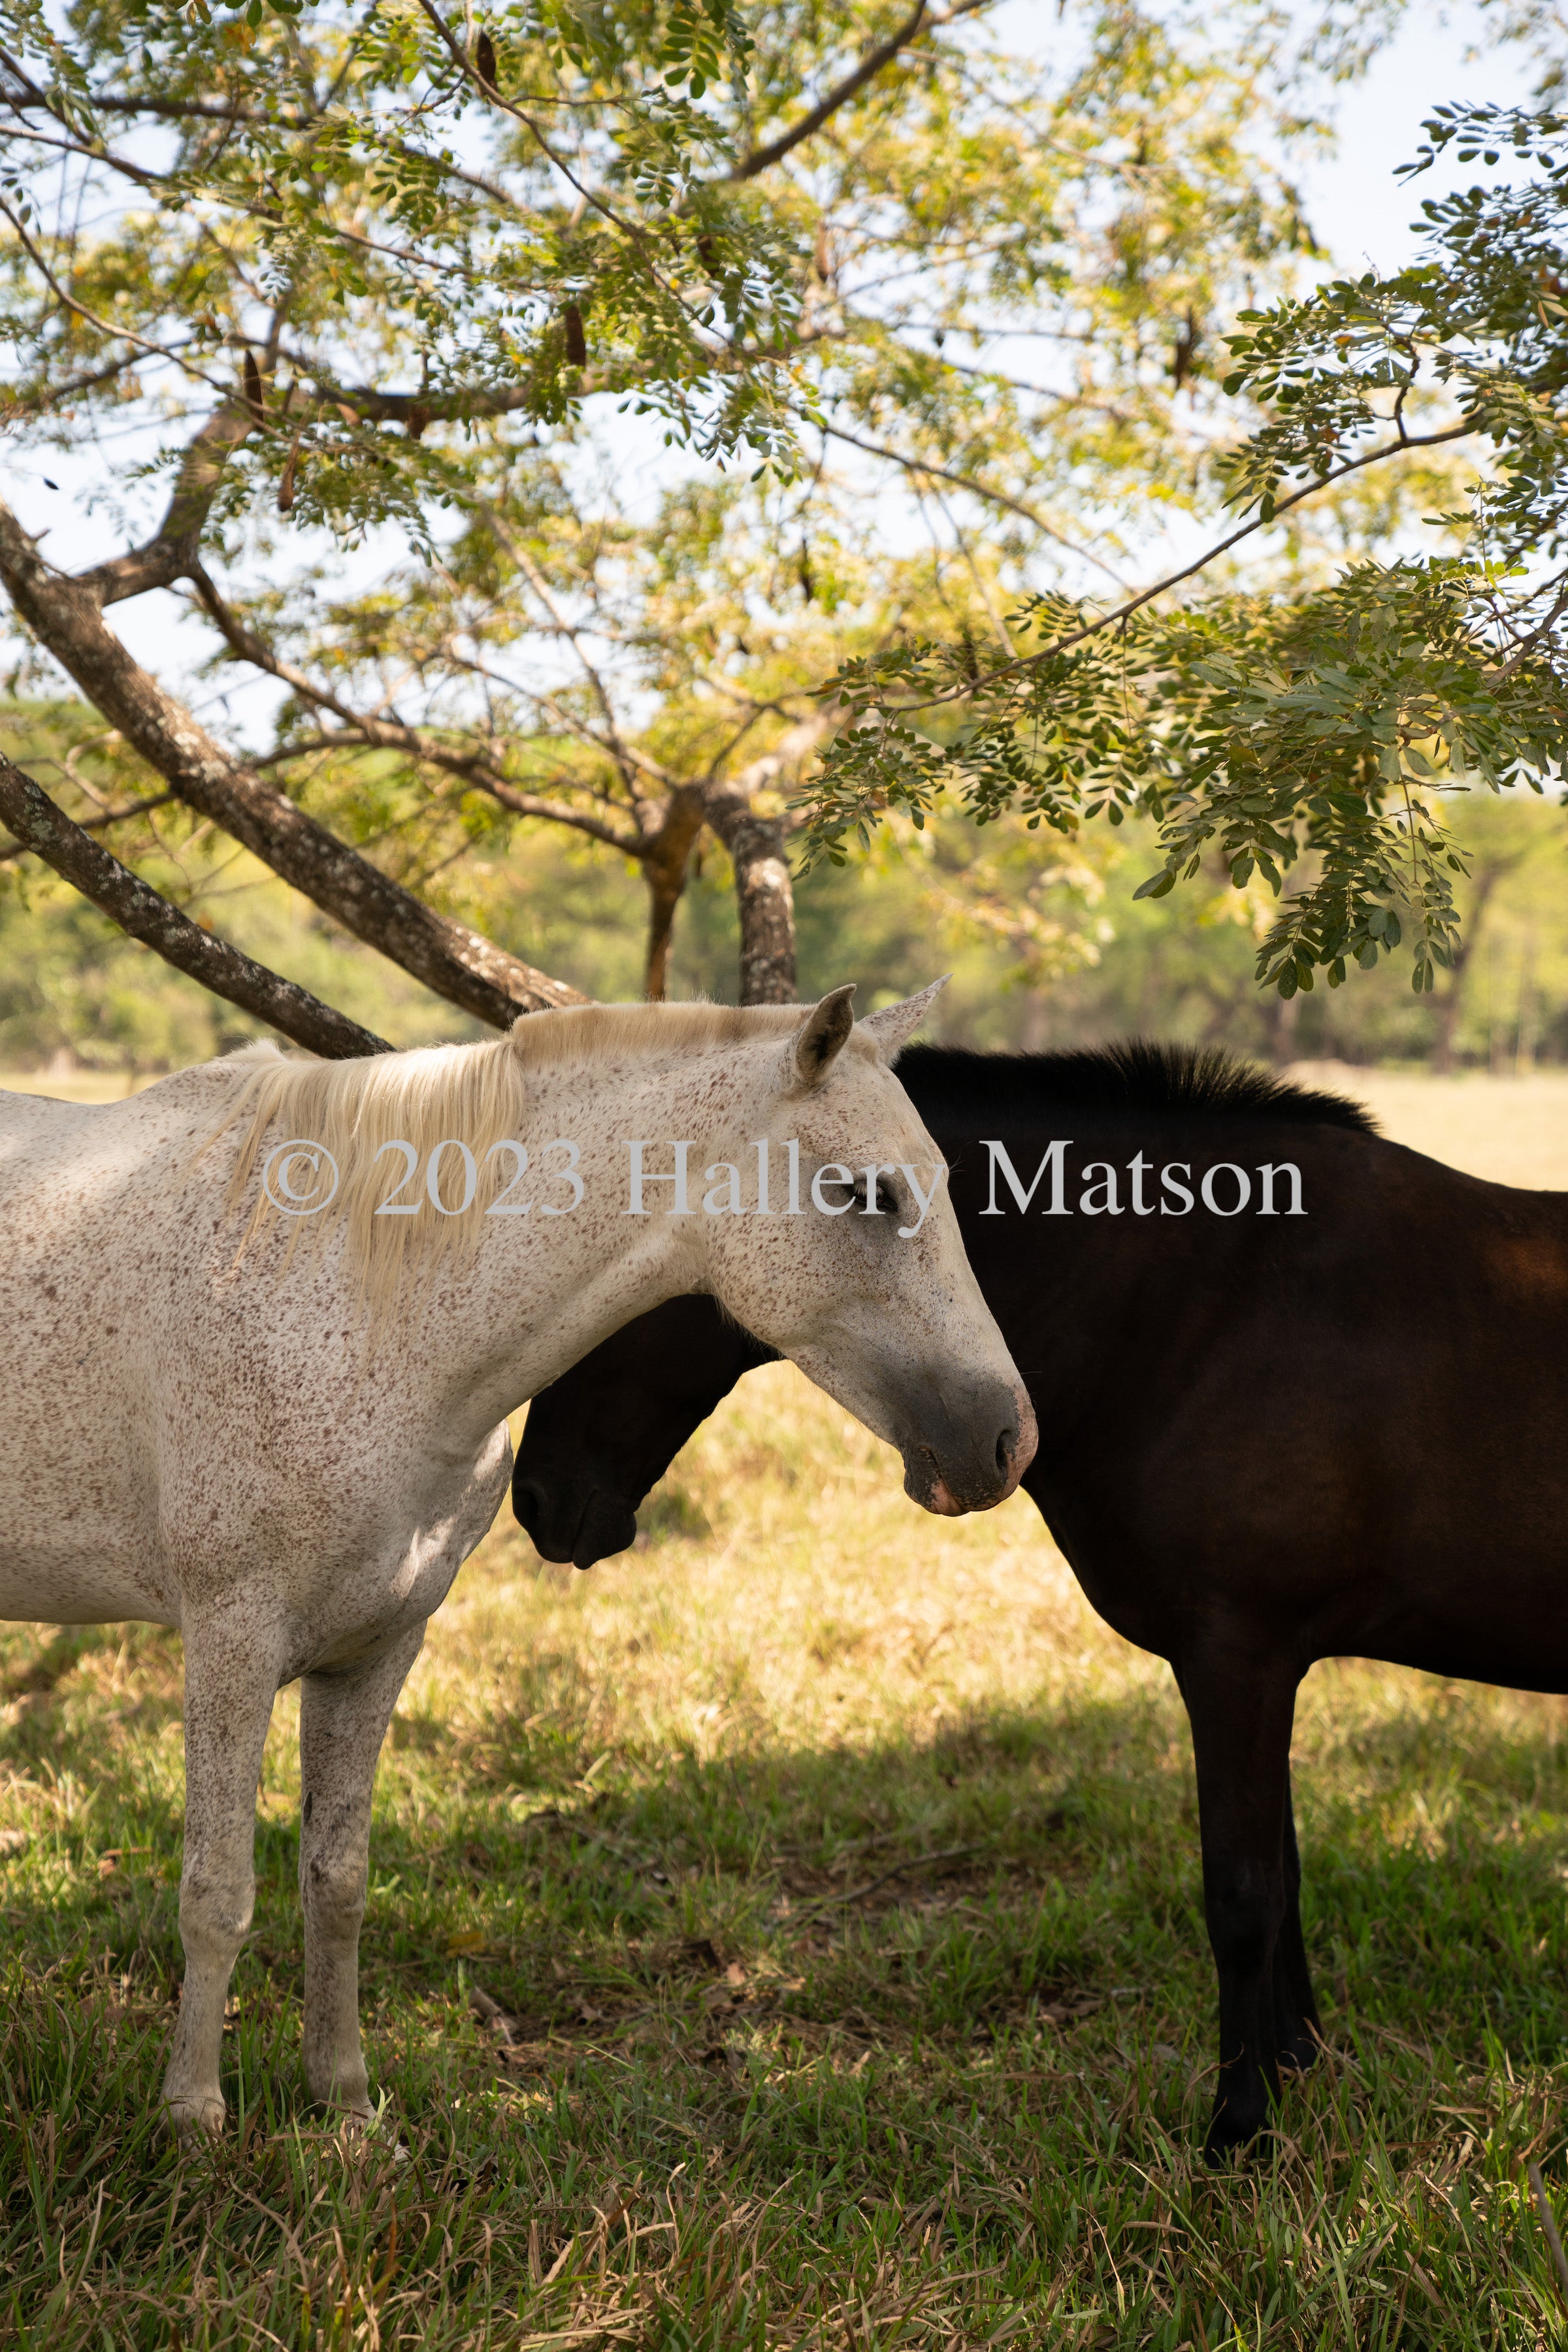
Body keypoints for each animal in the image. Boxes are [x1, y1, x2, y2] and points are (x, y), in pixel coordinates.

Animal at [0, 983, 1034, 2145]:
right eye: (867, 1191)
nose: (1005, 1442)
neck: (364, 1300)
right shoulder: (231, 1642)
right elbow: (217, 1891)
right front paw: (192, 2119)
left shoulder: (376, 1651)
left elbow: (337, 1881)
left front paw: (345, 2108)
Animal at [515, 1053, 1568, 2164]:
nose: (536, 1501)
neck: (1202, 1303)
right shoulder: (1264, 1669)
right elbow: (1282, 1880)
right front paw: (1296, 2071)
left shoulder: (1238, 1660)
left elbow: (1242, 1895)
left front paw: (1239, 2128)